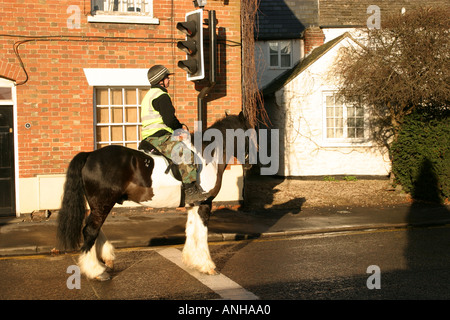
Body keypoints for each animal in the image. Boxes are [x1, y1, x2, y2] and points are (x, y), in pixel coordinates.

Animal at [56, 112, 253, 280]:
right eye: (249, 134)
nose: (251, 162)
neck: (207, 156)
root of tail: (90, 155)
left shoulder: (194, 205)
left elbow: (191, 231)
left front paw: (192, 261)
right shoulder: (205, 203)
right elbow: (202, 234)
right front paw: (207, 265)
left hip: (100, 204)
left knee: (94, 228)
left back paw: (106, 258)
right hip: (103, 203)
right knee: (90, 230)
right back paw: (96, 270)